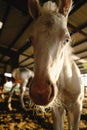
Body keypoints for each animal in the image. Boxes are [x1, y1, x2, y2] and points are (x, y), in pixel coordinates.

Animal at [27, 0, 84, 130]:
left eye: (67, 39)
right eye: (30, 39)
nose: (41, 92)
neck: (67, 81)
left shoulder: (78, 107)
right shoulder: (57, 109)